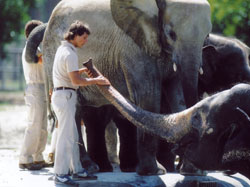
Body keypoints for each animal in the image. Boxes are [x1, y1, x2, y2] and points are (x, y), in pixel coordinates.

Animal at [39, 0, 213, 175]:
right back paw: (88, 168)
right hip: (52, 57)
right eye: (171, 34)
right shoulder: (134, 48)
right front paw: (153, 172)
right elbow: (148, 98)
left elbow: (178, 99)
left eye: (207, 36)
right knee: (74, 110)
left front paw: (192, 171)